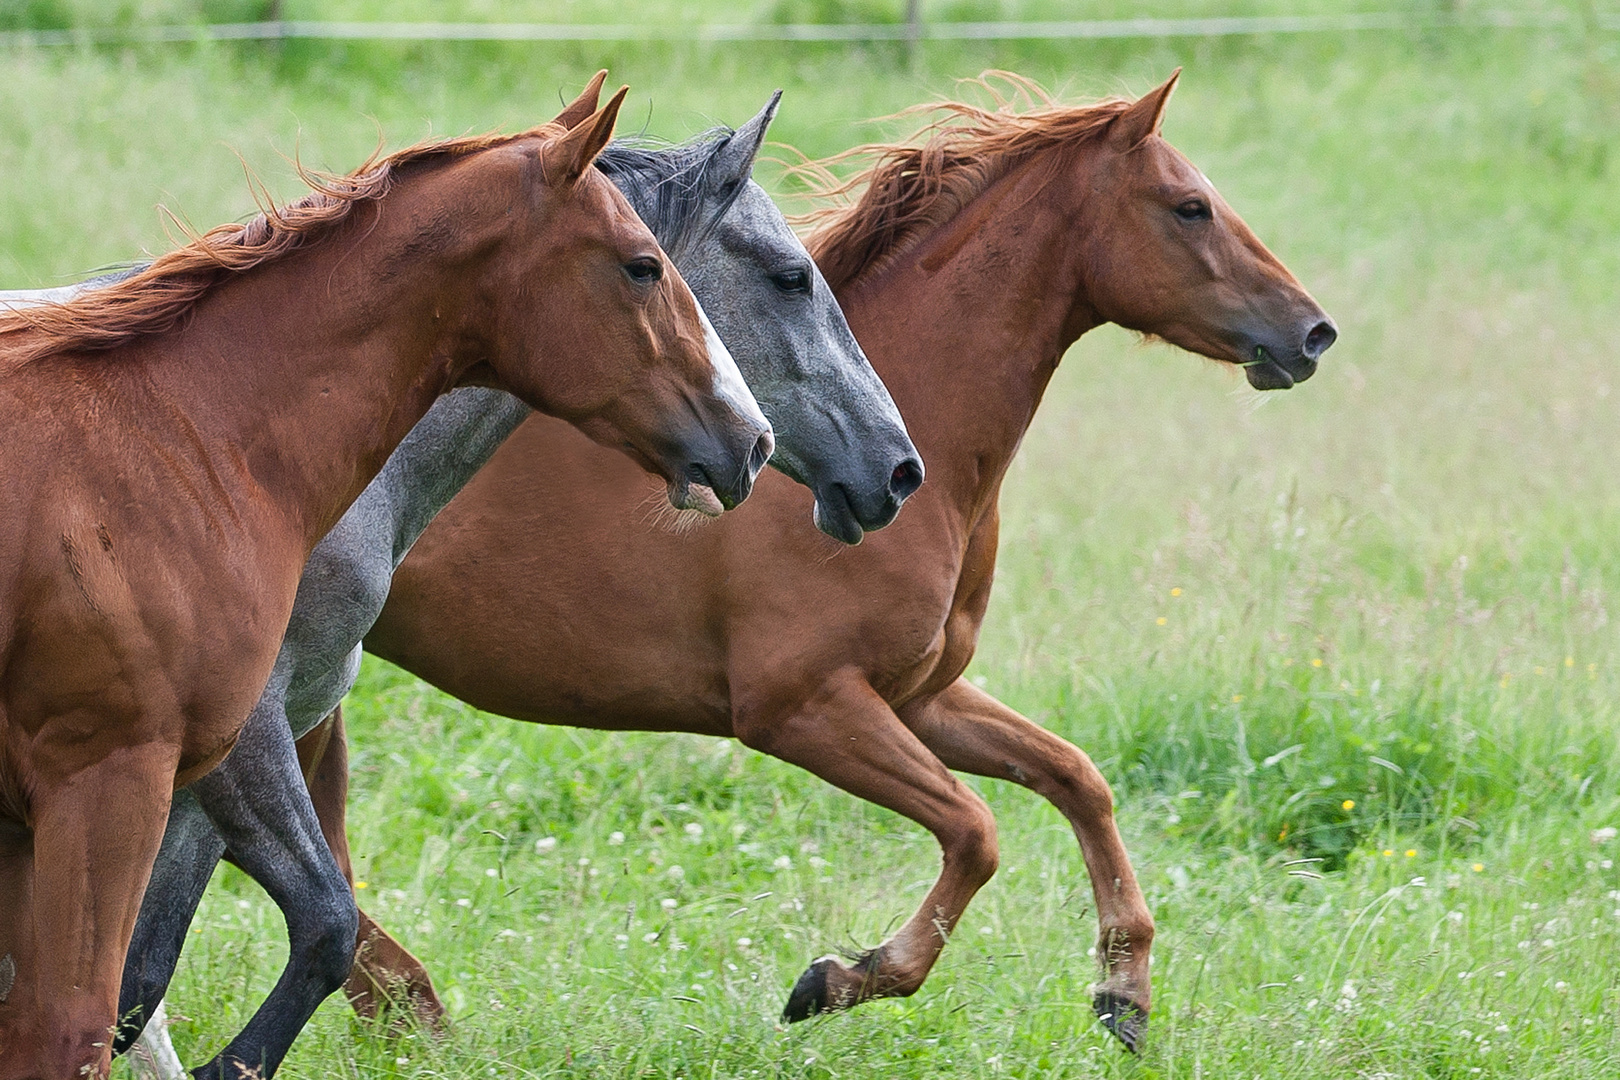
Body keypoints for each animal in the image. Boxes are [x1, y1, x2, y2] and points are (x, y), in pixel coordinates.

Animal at [9, 95, 926, 1080]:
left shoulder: (215, 759)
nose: (898, 468)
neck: (227, 438)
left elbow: (142, 977)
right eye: (794, 276)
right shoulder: (232, 737)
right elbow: (280, 934)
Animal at [309, 67, 1334, 1049]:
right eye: (1189, 207)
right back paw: (406, 1005)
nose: (1312, 331)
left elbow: (1078, 778)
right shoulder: (802, 707)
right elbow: (977, 832)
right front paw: (840, 979)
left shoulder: (918, 696)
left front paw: (1125, 994)